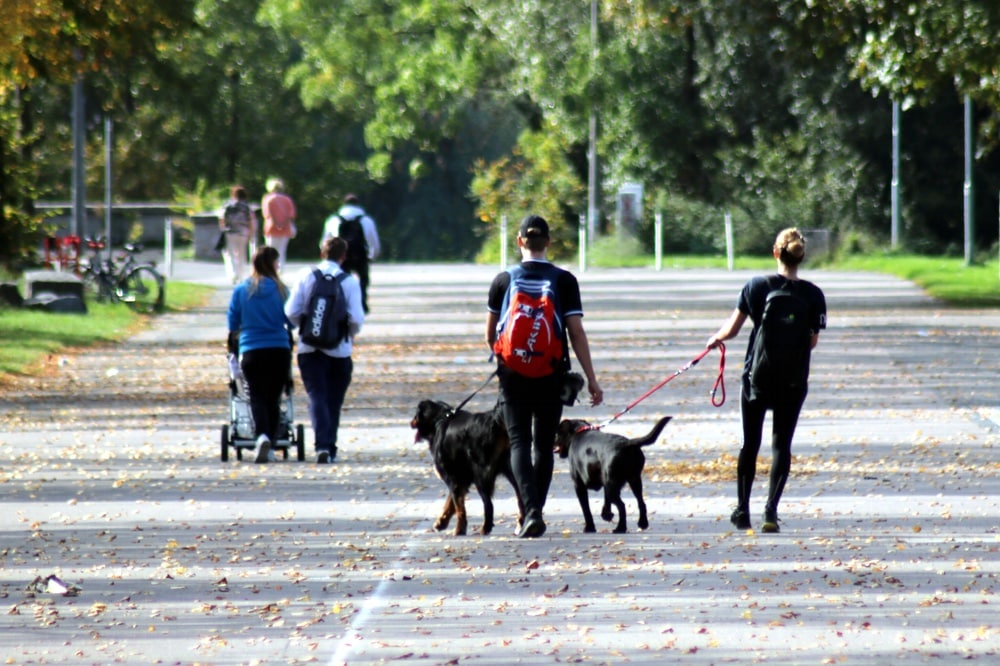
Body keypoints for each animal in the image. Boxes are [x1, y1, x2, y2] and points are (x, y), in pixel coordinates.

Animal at [410, 400, 528, 536]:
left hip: (480, 476)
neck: (438, 420)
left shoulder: (452, 477)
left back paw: (485, 528)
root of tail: (493, 421)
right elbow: (450, 503)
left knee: (489, 505)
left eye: (416, 415)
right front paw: (441, 522)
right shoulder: (460, 479)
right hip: (510, 470)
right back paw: (521, 524)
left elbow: (459, 507)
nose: (411, 422)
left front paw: (459, 529)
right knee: (521, 497)